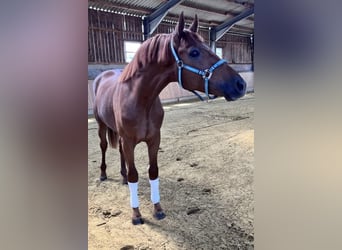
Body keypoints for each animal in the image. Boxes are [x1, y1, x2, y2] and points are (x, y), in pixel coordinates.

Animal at [92, 12, 247, 226]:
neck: (140, 99)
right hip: (101, 127)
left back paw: (121, 177)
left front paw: (157, 209)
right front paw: (136, 214)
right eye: (194, 52)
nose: (241, 84)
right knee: (104, 147)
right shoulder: (130, 141)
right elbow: (134, 175)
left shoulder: (154, 139)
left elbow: (153, 171)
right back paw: (103, 174)